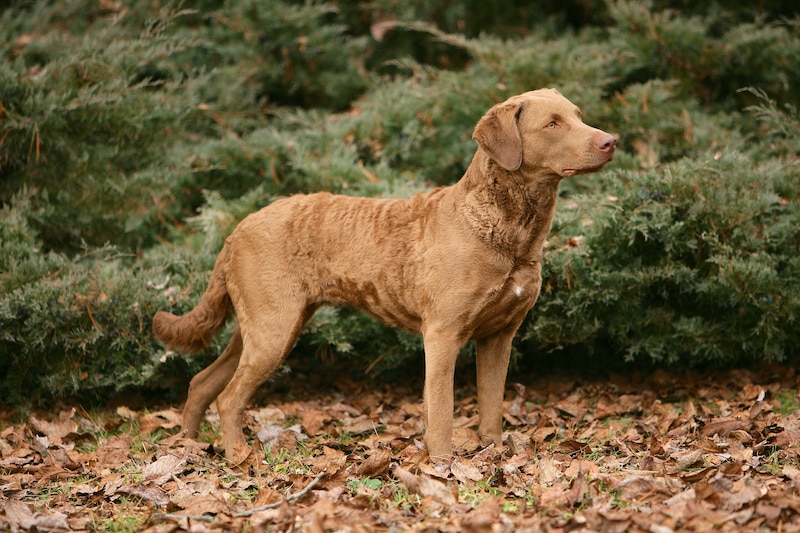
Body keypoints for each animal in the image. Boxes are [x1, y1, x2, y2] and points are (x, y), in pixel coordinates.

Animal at [156, 87, 620, 462]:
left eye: (578, 115)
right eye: (552, 124)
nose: (611, 141)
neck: (505, 231)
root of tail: (237, 228)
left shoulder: (499, 335)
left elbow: (492, 405)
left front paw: (494, 454)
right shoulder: (443, 333)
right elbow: (442, 409)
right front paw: (443, 464)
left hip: (261, 326)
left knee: (202, 382)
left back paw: (188, 446)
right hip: (273, 329)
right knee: (229, 396)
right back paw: (237, 455)